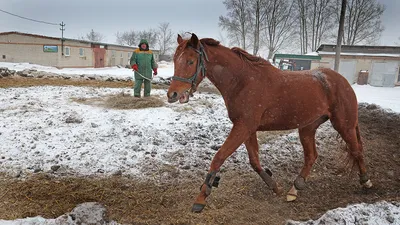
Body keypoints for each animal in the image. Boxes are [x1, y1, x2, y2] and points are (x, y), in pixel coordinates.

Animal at [166, 33, 372, 213]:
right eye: (175, 60)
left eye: (190, 61)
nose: (173, 95)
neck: (243, 81)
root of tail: (341, 80)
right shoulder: (248, 129)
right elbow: (254, 161)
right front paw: (274, 186)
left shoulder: (243, 127)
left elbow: (219, 157)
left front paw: (201, 199)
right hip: (307, 128)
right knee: (312, 156)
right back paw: (294, 189)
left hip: (344, 125)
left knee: (356, 150)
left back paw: (366, 182)